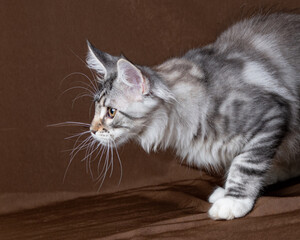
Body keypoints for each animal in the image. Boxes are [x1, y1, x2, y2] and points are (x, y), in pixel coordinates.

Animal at [84, 12, 300, 219]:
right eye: (96, 108)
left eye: (111, 112)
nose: (91, 130)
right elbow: (238, 162)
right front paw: (227, 191)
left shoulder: (269, 115)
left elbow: (245, 164)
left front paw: (234, 200)